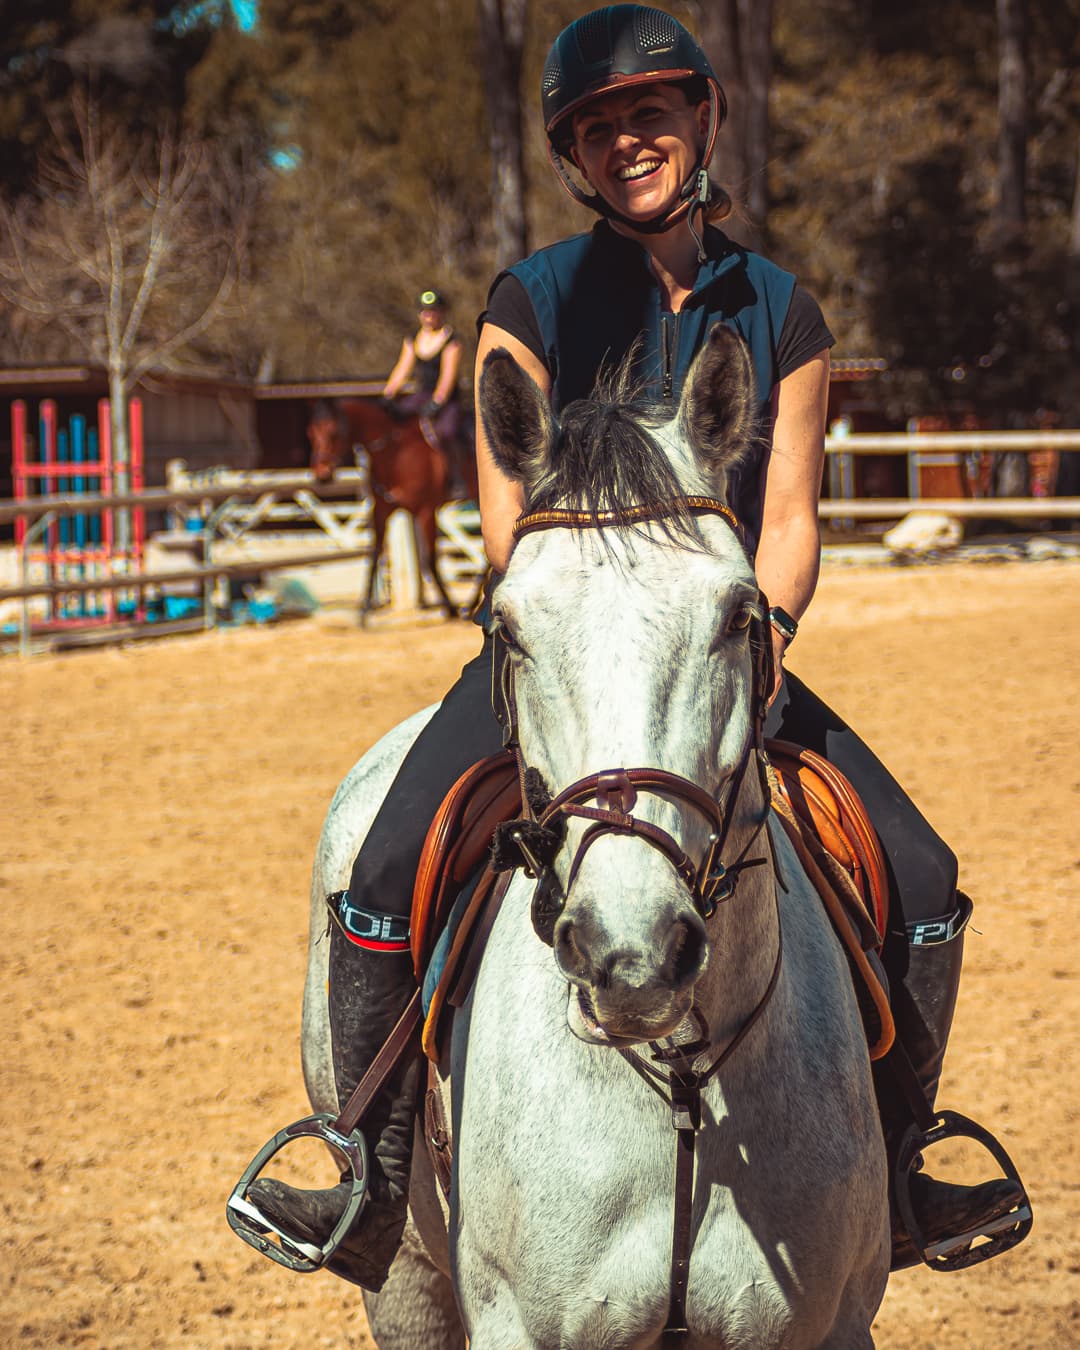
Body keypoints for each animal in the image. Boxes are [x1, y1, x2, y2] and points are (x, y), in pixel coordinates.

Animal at [306, 398, 466, 618]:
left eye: (333, 432)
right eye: (311, 433)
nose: (321, 474)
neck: (396, 452)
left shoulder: (425, 511)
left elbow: (430, 559)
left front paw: (450, 607)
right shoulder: (382, 511)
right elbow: (374, 552)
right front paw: (364, 608)